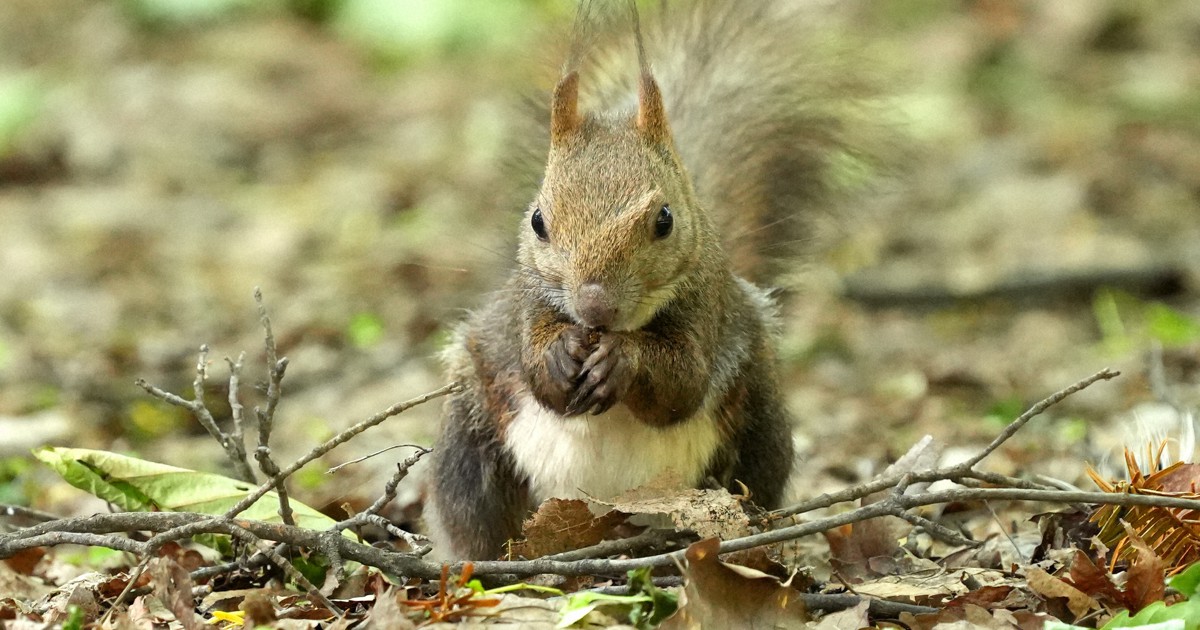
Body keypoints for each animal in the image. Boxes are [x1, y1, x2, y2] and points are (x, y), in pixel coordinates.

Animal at [424, 0, 879, 560]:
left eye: (664, 219)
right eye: (537, 221)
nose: (594, 305)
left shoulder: (708, 307)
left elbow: (682, 384)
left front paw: (622, 361)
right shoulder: (526, 306)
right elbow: (536, 369)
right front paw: (558, 356)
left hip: (760, 428)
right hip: (468, 441)